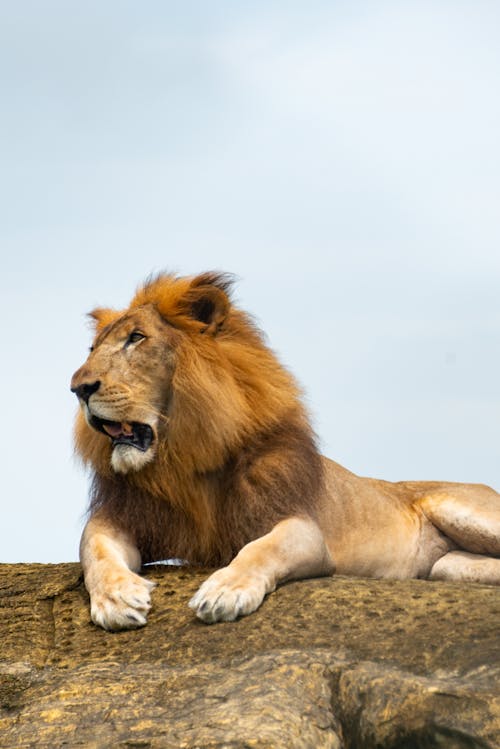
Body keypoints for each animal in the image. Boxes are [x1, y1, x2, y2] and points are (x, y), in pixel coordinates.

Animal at [70, 272, 500, 628]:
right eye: (92, 348)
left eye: (136, 338)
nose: (78, 388)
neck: (186, 458)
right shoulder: (127, 517)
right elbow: (94, 548)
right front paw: (117, 597)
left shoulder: (303, 528)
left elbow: (261, 548)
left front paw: (225, 590)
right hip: (447, 567)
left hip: (459, 508)